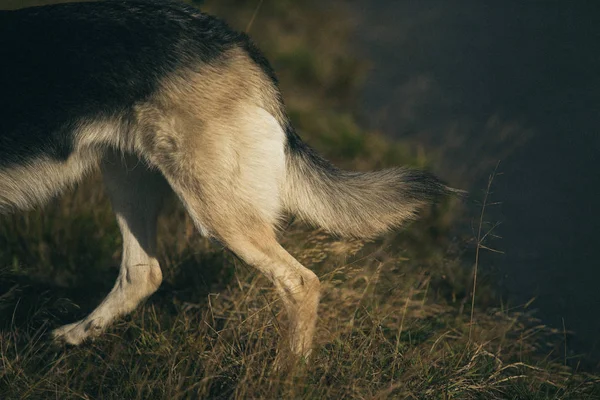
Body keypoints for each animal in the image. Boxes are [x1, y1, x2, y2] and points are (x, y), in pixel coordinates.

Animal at [1, 0, 460, 356]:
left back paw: (288, 377)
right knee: (142, 272)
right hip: (129, 177)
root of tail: (239, 43)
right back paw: (78, 334)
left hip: (217, 212)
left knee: (301, 282)